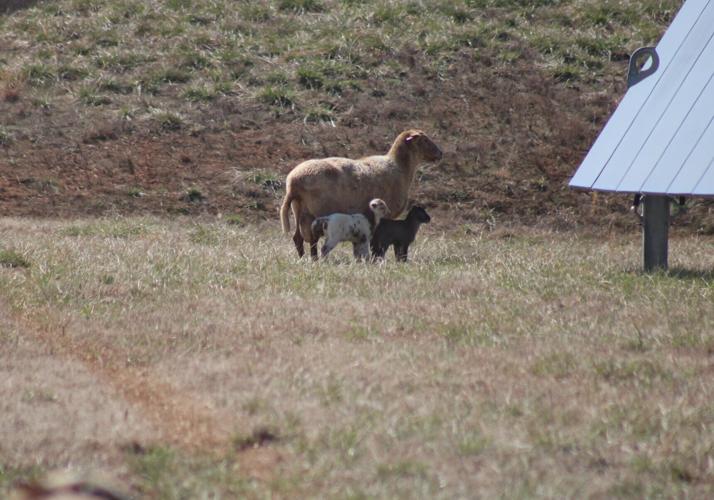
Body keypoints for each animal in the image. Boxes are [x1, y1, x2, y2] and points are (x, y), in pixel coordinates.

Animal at [280, 129, 442, 259]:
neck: (400, 168)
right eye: (425, 140)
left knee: (298, 238)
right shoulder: (384, 218)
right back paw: (314, 259)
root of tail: (293, 182)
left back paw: (304, 258)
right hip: (314, 213)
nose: (440, 153)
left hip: (299, 209)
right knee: (312, 239)